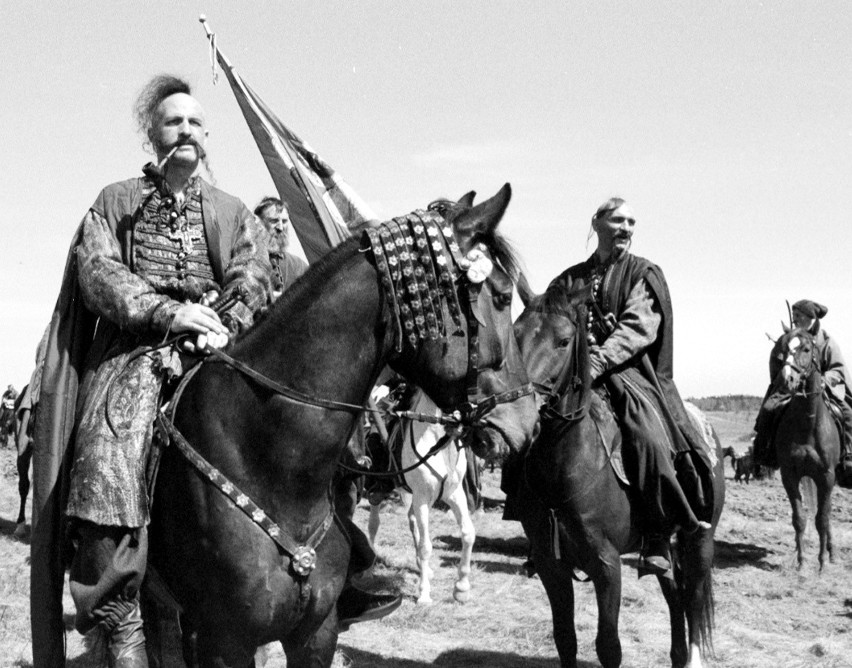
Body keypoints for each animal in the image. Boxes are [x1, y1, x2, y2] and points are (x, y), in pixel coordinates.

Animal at [368, 392, 480, 604]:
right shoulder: (422, 498)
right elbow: (426, 545)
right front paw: (424, 594)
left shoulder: (454, 493)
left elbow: (468, 534)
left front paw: (461, 587)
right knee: (373, 521)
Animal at [512, 284, 724, 664]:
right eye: (516, 335)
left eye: (564, 341)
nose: (522, 413)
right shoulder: (551, 567)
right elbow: (565, 638)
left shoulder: (607, 567)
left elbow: (609, 646)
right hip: (665, 548)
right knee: (676, 595)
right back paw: (676, 655)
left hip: (700, 539)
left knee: (694, 600)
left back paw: (693, 658)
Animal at [772, 328, 840, 568]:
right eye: (782, 349)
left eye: (806, 348)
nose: (787, 379)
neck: (808, 424)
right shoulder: (790, 475)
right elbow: (799, 518)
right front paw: (801, 562)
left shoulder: (827, 477)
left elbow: (822, 519)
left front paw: (821, 563)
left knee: (826, 514)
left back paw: (831, 552)